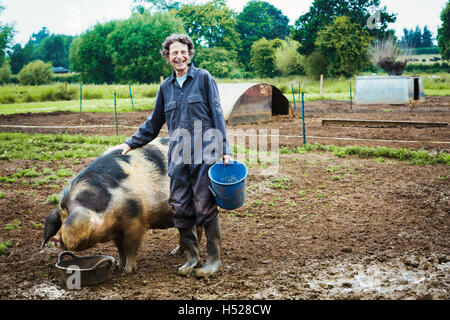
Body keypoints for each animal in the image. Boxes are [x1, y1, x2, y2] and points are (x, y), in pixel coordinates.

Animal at [43, 138, 201, 272]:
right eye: (61, 217)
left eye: (69, 214)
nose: (55, 238)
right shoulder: (116, 230)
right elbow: (120, 248)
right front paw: (118, 266)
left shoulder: (136, 221)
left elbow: (131, 246)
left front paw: (128, 271)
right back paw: (174, 253)